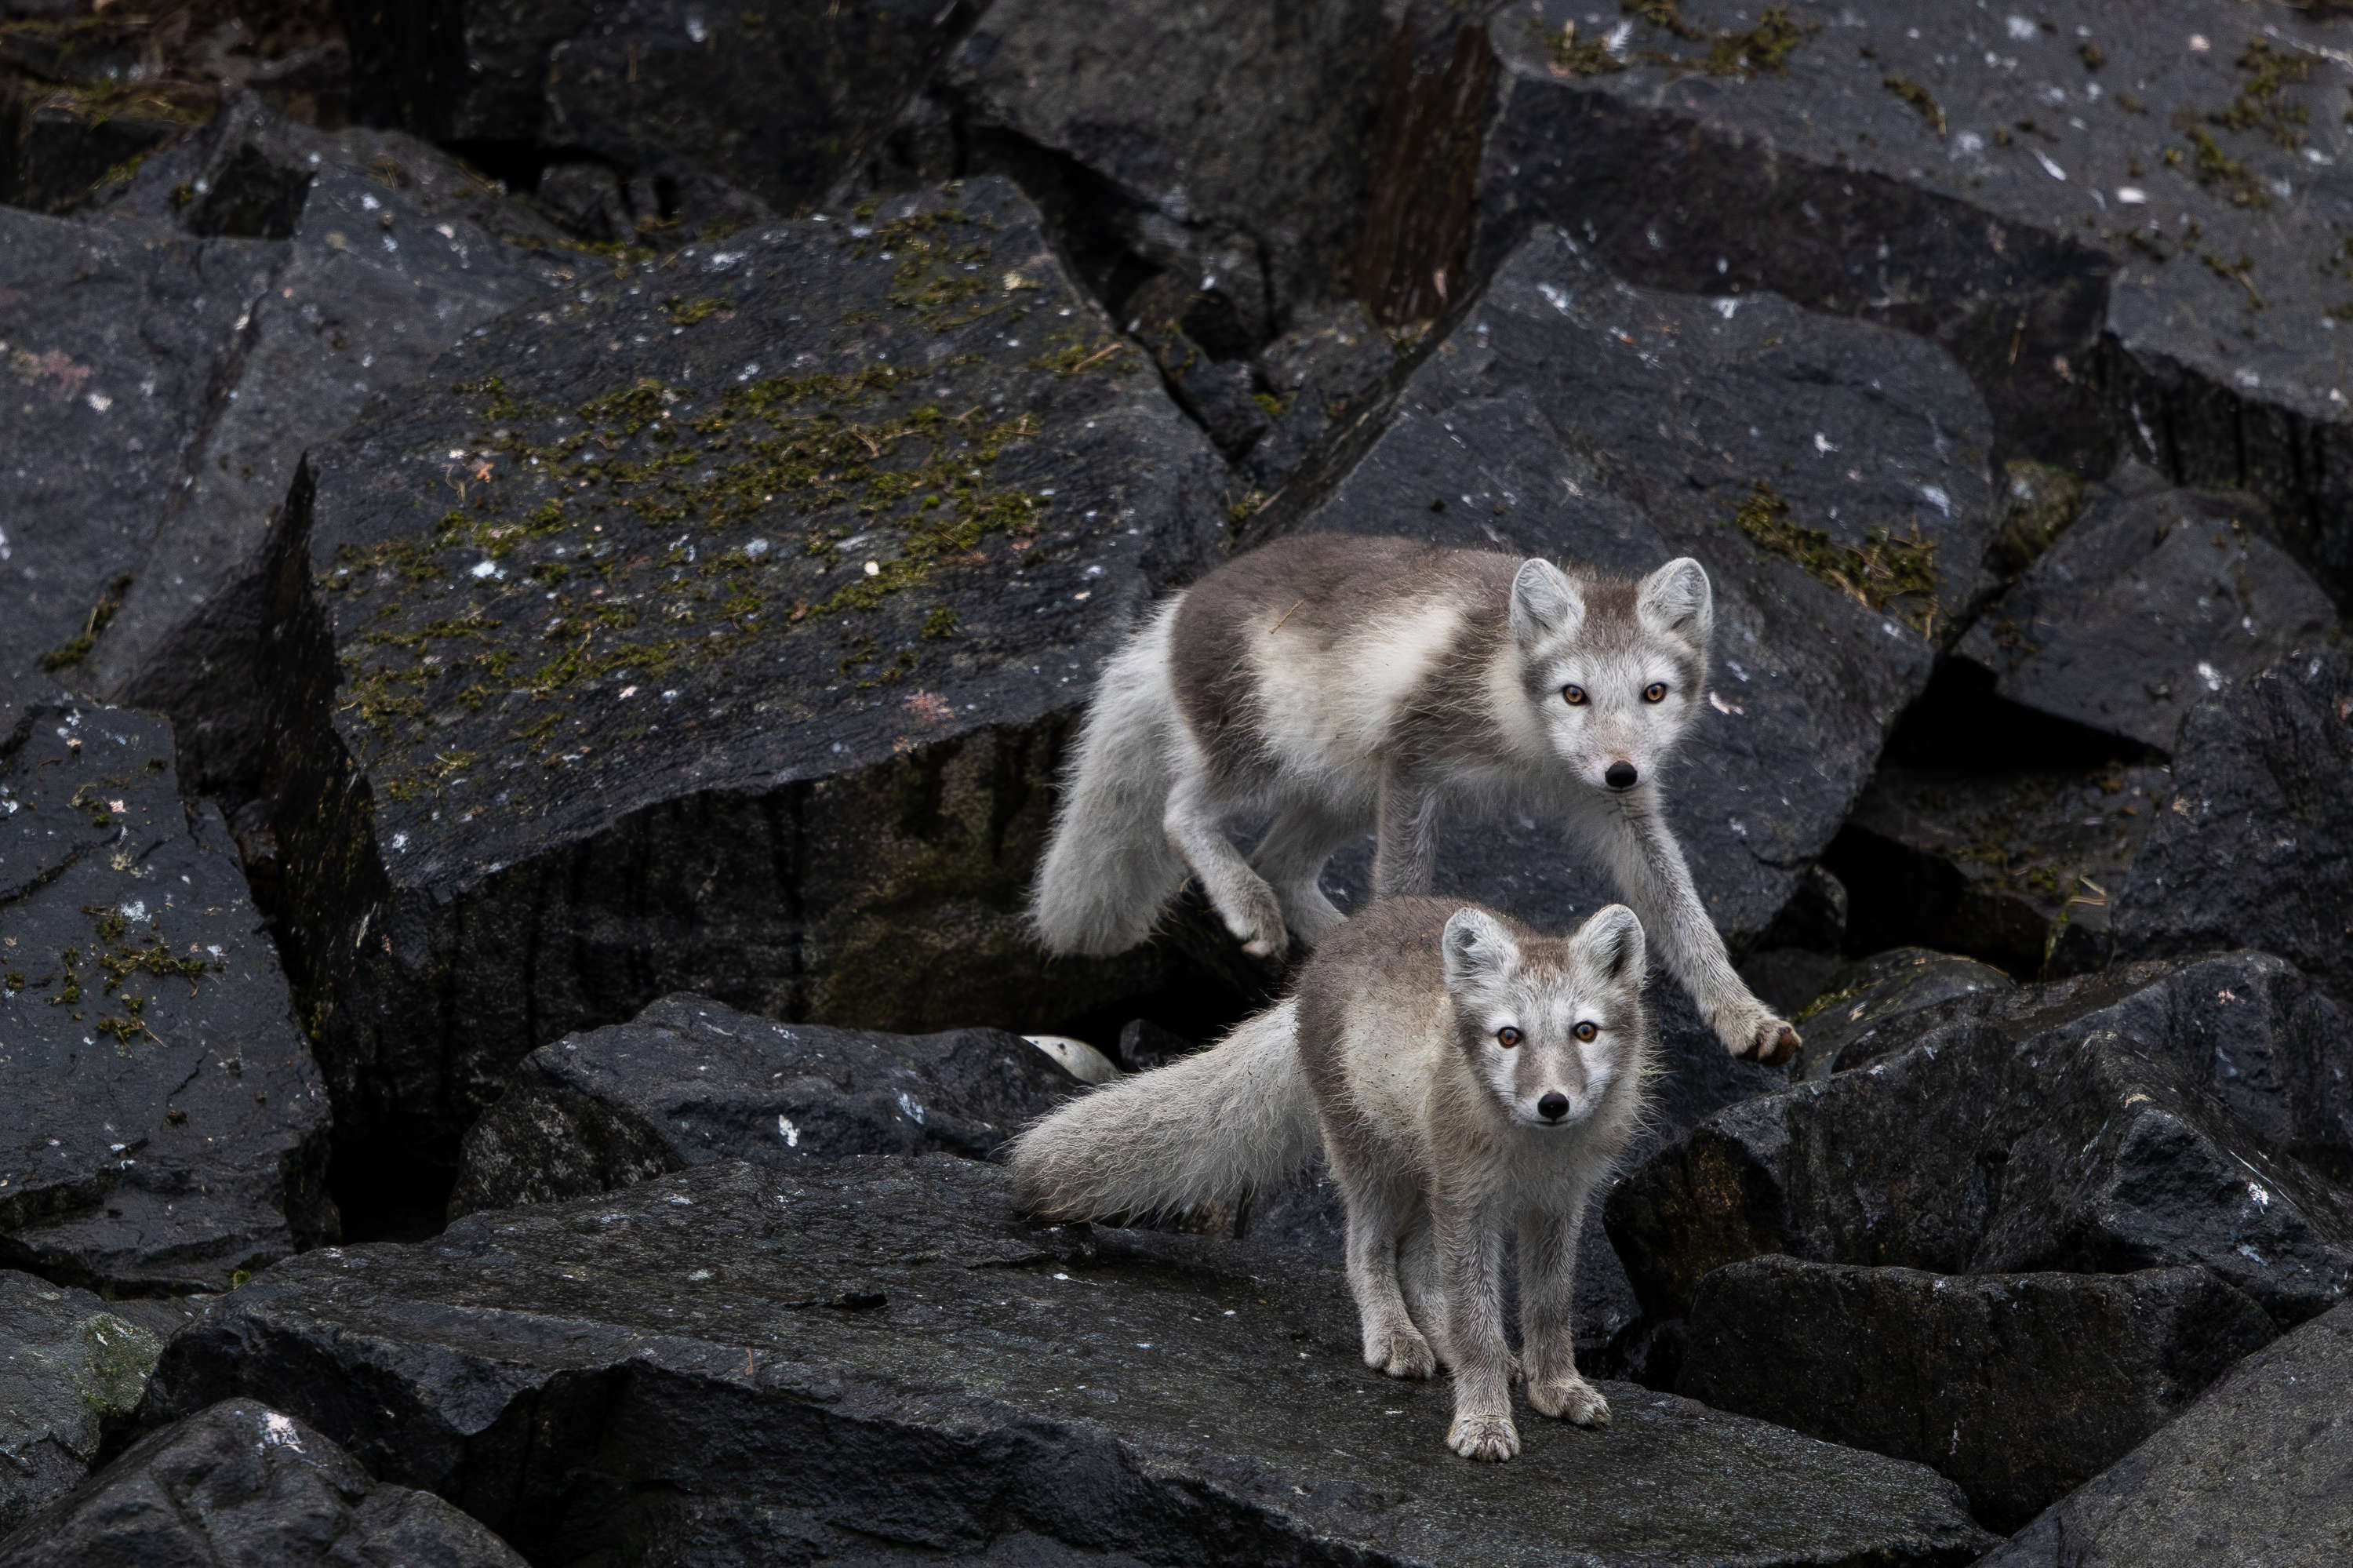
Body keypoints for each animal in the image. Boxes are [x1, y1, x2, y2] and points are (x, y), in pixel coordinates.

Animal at [1010, 896, 1654, 1461]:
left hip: (1421, 1174)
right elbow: (1475, 1321)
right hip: (1370, 1157)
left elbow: (1549, 1307)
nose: (1553, 1103)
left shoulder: (1560, 1204)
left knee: (1417, 1265)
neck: (1535, 1154)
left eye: (1585, 1031)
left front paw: (1559, 1390)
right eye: (1509, 1036)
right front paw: (1483, 1421)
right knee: (1365, 1250)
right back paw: (1396, 1338)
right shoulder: (1468, 1199)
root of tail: (1335, 942)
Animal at [1031, 532, 1798, 1064]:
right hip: (1258, 752)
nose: (1620, 771)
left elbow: (1682, 912)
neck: (1529, 741)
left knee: (1281, 860)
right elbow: (1404, 880)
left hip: (1340, 787)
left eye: (1654, 692)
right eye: (1574, 693)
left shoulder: (1616, 809)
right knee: (1182, 811)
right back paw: (1250, 906)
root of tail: (1174, 611)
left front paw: (1745, 1017)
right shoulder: (1413, 761)